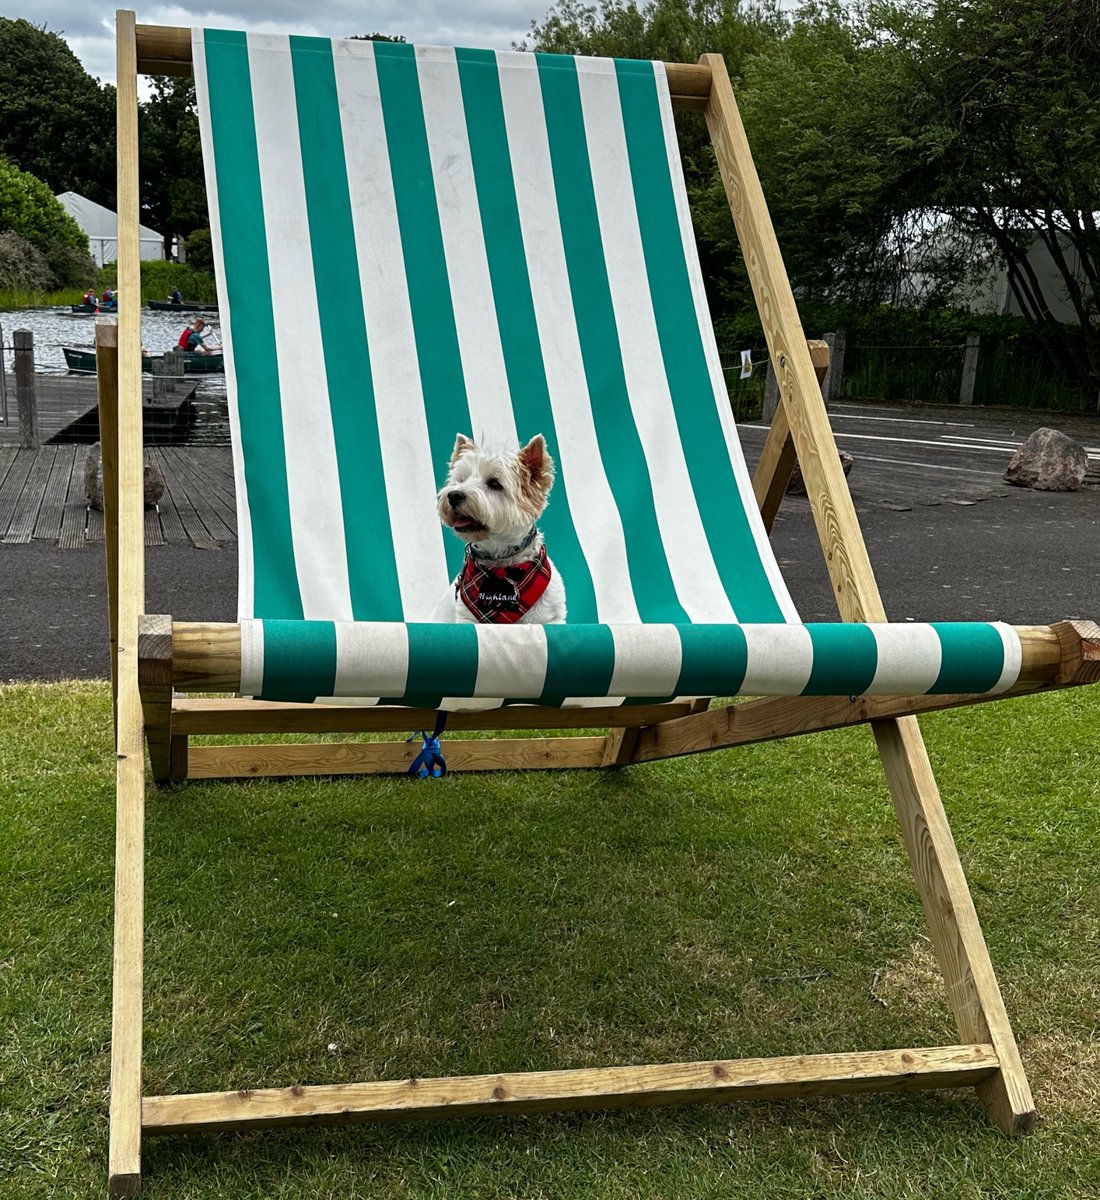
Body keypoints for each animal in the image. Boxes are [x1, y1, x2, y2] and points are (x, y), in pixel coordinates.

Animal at [429, 432, 566, 624]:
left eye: (494, 483)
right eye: (460, 480)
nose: (454, 495)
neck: (500, 560)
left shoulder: (548, 618)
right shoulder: (467, 618)